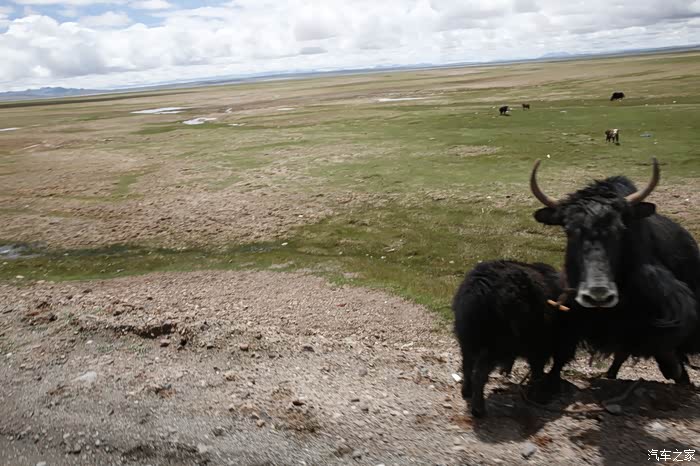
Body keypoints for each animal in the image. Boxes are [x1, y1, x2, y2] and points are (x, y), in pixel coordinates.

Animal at [452, 260, 563, 416]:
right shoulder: (539, 346)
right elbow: (537, 370)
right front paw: (537, 395)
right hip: (494, 345)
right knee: (479, 374)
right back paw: (479, 409)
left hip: (467, 338)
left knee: (467, 366)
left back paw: (467, 392)